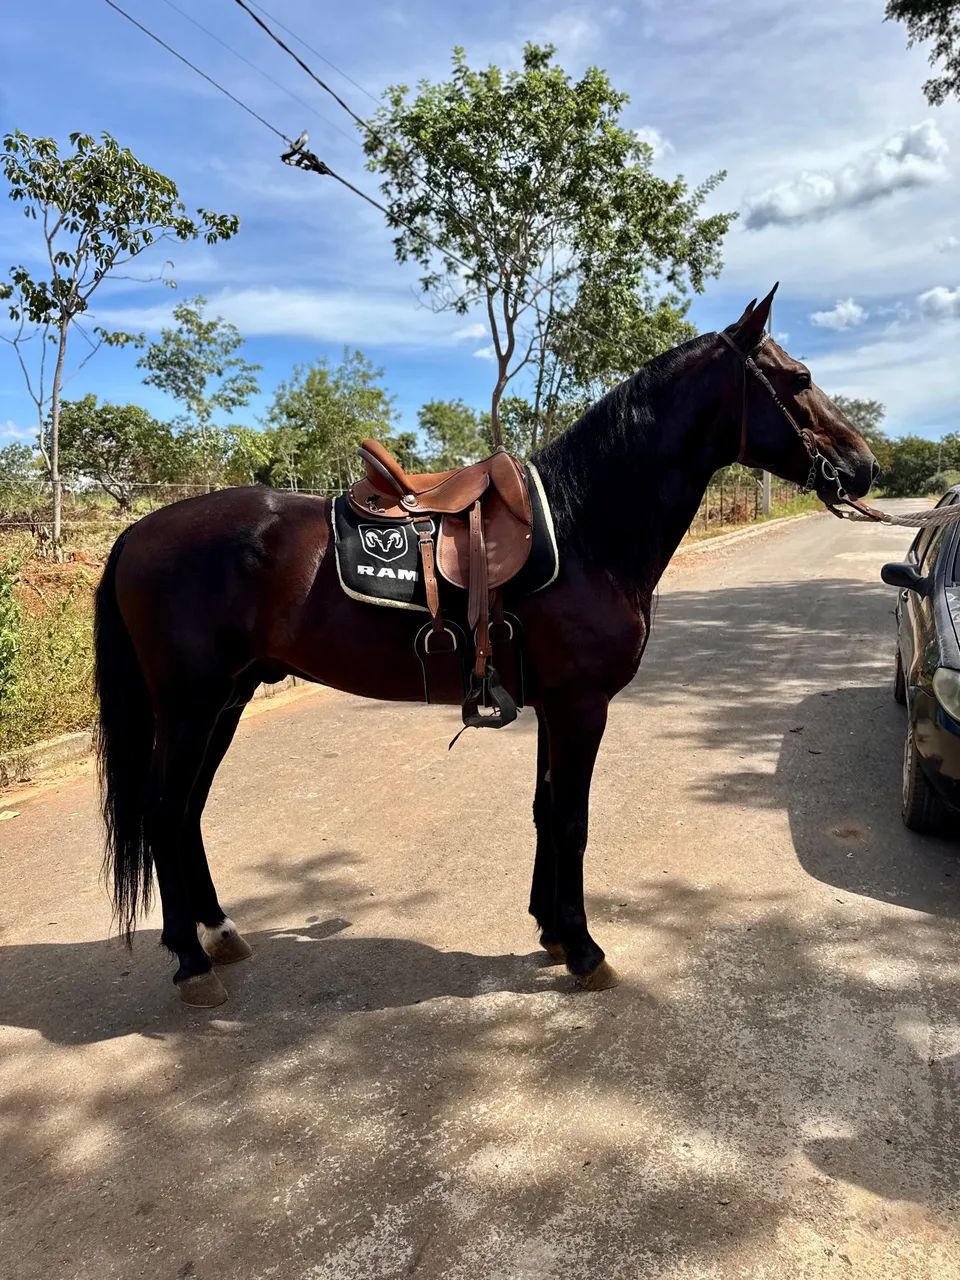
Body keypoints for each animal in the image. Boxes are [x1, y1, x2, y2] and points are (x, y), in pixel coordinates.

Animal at [94, 287, 878, 1007]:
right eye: (799, 378)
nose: (865, 466)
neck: (586, 528)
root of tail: (137, 533)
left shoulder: (554, 704)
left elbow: (544, 809)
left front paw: (552, 931)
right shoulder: (582, 706)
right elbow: (571, 818)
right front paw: (585, 950)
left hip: (223, 701)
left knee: (185, 811)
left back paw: (216, 934)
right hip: (192, 706)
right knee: (163, 810)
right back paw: (192, 964)